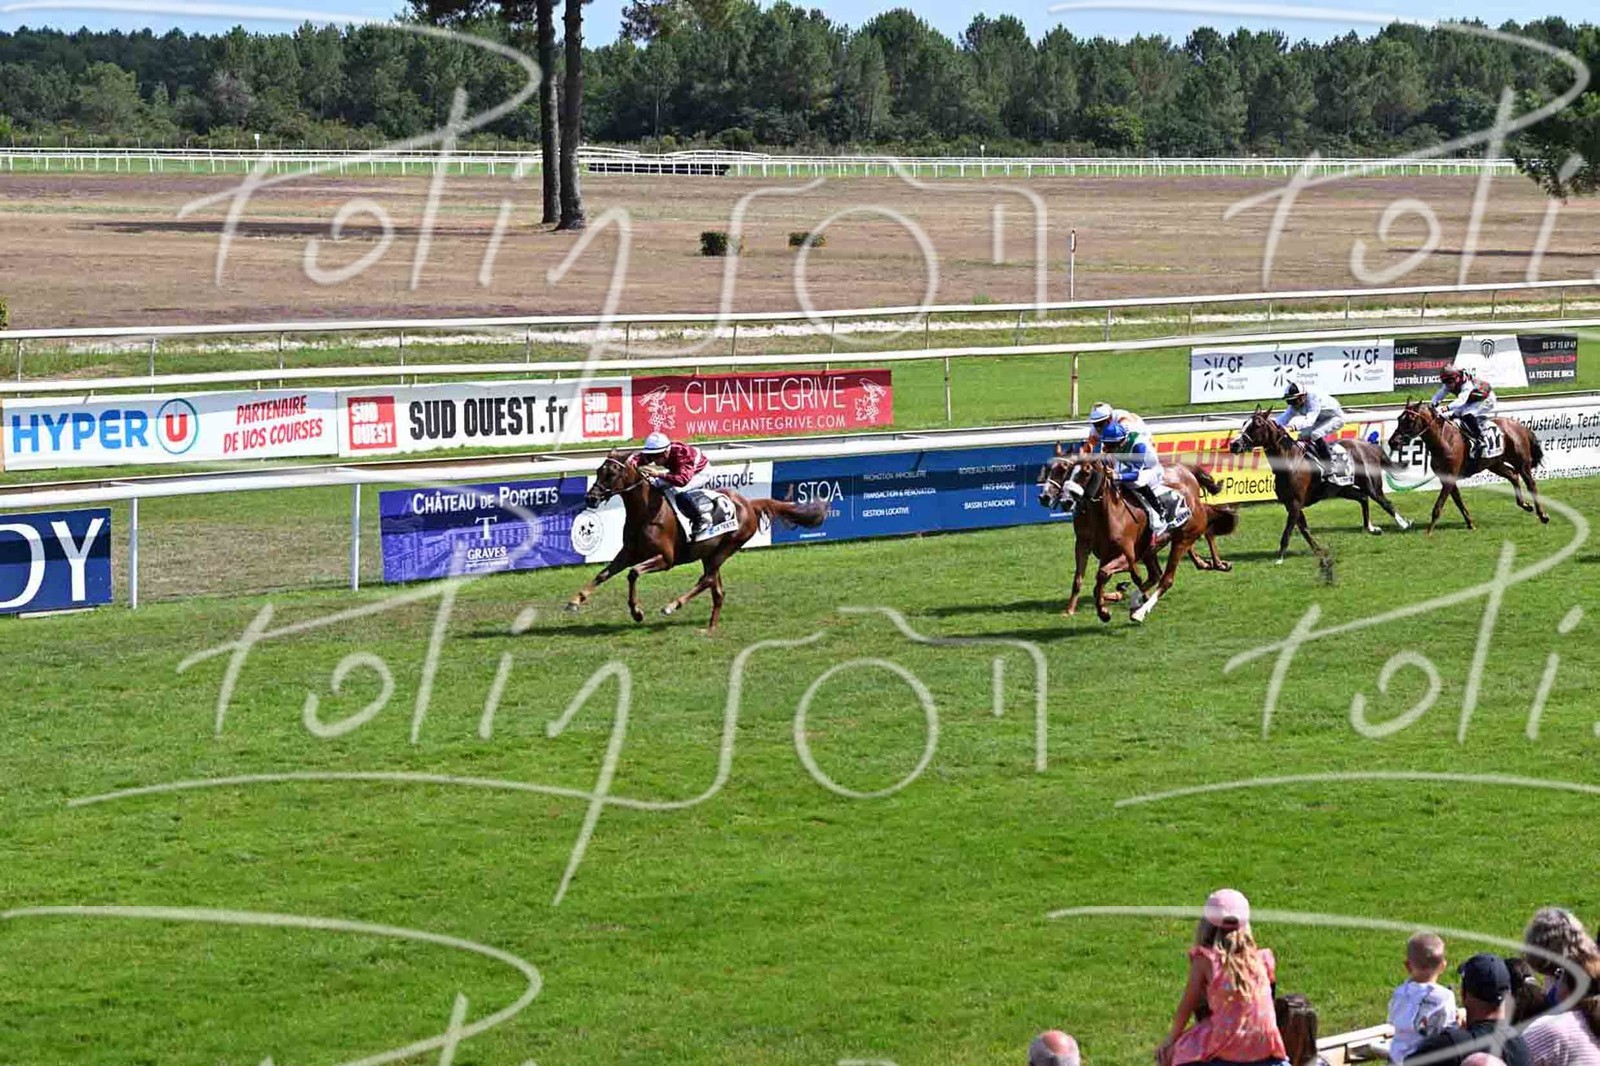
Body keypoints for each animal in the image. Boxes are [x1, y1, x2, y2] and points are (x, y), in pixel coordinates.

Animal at [565, 451, 825, 631]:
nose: (590, 498)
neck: (648, 511)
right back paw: (710, 628)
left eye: (611, 474)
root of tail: (749, 504)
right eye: (598, 470)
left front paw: (637, 611)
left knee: (706, 580)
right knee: (717, 589)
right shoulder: (629, 552)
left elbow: (633, 573)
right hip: (709, 554)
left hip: (726, 547)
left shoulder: (666, 559)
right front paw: (575, 601)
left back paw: (673, 605)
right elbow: (604, 574)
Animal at [1038, 451, 1239, 623]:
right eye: (1068, 471)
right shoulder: (1087, 545)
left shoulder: (1128, 555)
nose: (1046, 497)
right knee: (1156, 573)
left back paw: (1140, 611)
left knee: (1167, 577)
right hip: (1154, 548)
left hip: (1182, 539)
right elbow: (1087, 580)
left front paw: (1104, 610)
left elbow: (1107, 574)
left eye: (1085, 472)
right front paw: (1073, 609)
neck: (1110, 514)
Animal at [1228, 407, 1410, 564]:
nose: (1234, 444)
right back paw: (1371, 527)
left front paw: (1279, 558)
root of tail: (1370, 446)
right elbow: (1304, 529)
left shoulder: (1295, 503)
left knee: (1384, 501)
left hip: (1371, 484)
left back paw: (1403, 523)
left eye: (1256, 425)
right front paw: (1318, 550)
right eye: (1244, 423)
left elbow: (1288, 530)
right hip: (1342, 489)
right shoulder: (1290, 503)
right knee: (1363, 498)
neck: (1290, 461)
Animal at [1387, 400, 1548, 533]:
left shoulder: (1449, 478)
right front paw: (1470, 524)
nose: (1393, 442)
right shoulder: (1446, 478)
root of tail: (1518, 425)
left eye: (1410, 420)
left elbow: (1438, 507)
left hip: (1521, 463)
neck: (1444, 440)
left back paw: (1543, 515)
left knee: (1531, 483)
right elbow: (1458, 502)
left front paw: (1429, 532)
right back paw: (1525, 505)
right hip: (1494, 463)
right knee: (1513, 475)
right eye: (1399, 418)